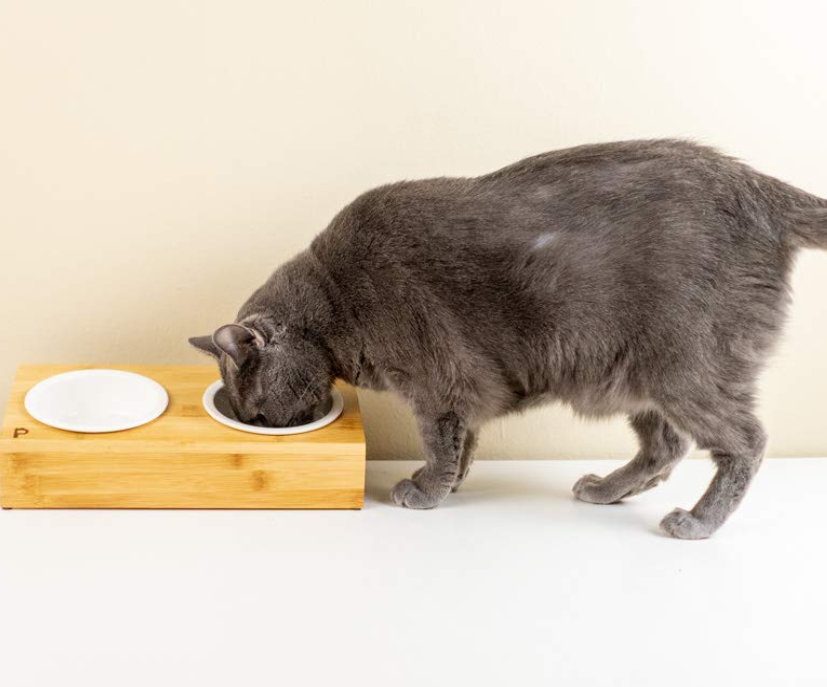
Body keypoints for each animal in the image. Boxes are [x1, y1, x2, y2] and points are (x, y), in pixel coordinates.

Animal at [191, 140, 827, 536]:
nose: (270, 428)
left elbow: (440, 439)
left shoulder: (439, 379)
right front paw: (452, 484)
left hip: (685, 365)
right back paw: (606, 489)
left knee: (745, 441)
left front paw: (425, 490)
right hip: (634, 372)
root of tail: (761, 190)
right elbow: (464, 440)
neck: (335, 302)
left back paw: (697, 523)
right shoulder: (462, 388)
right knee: (665, 446)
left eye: (257, 410)